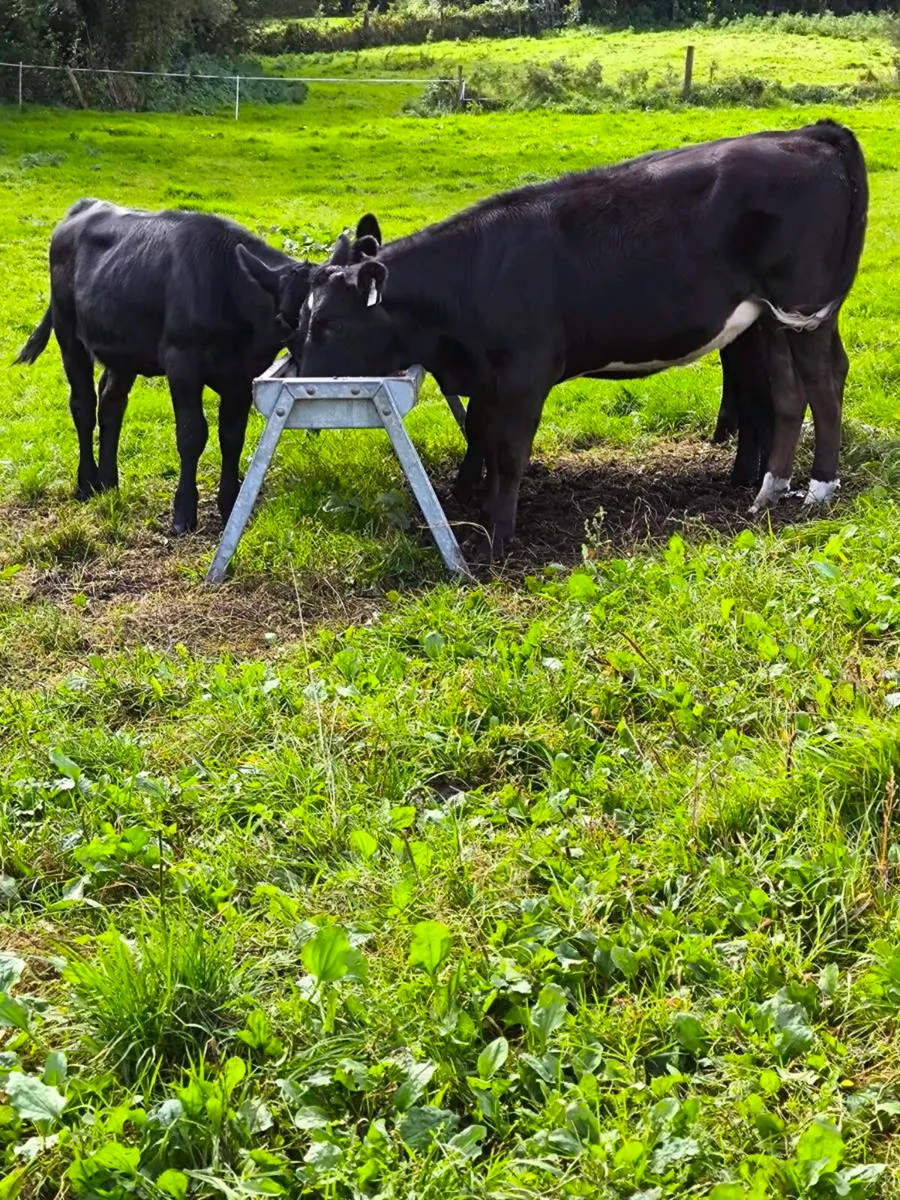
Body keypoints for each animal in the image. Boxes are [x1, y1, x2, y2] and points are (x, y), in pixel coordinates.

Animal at [15, 198, 312, 534]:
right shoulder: (181, 362)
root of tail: (85, 206)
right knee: (83, 406)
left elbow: (232, 436)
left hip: (122, 348)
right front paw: (184, 511)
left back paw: (108, 482)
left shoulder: (242, 376)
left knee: (111, 405)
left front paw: (229, 505)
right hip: (69, 334)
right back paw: (86, 483)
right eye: (294, 322)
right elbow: (192, 433)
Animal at [264, 120, 866, 556]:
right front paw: (473, 500)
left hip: (804, 308)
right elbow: (479, 435)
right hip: (772, 318)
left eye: (329, 324)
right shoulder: (488, 376)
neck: (474, 276)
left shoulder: (524, 375)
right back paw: (767, 490)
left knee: (823, 384)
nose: (302, 384)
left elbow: (510, 452)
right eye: (297, 321)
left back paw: (818, 490)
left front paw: (499, 538)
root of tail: (813, 132)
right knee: (788, 393)